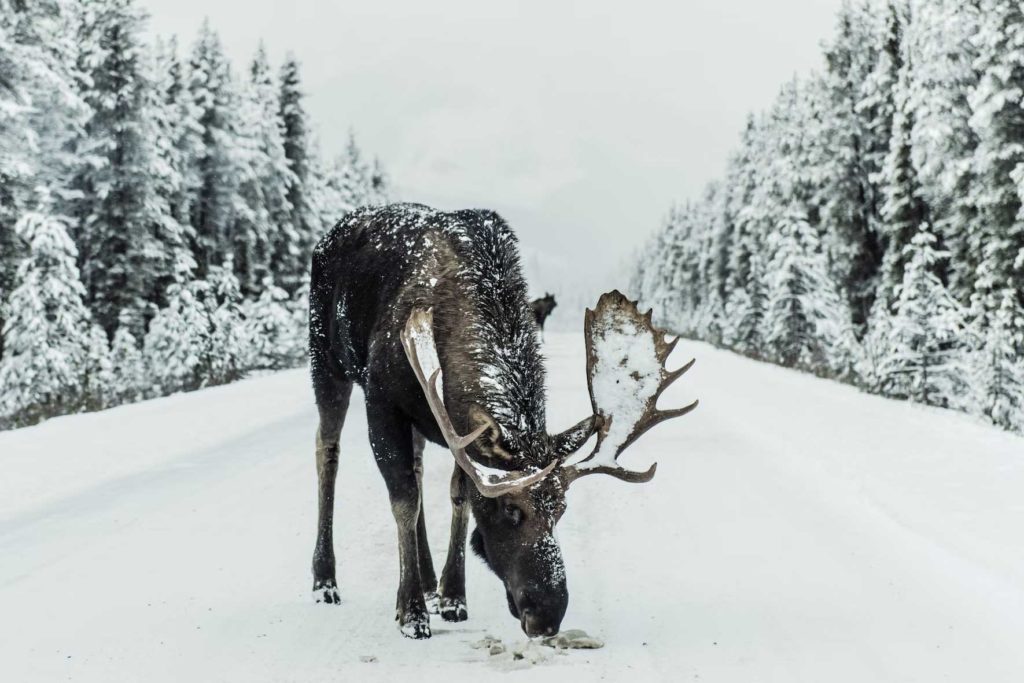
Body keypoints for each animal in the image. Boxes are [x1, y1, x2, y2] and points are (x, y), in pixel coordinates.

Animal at [309, 200, 696, 638]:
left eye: (561, 509)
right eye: (511, 510)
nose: (547, 615)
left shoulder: (455, 427)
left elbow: (458, 496)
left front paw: (452, 596)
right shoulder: (382, 399)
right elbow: (404, 499)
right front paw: (411, 613)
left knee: (418, 467)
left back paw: (427, 580)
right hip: (326, 360)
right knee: (327, 451)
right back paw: (325, 581)